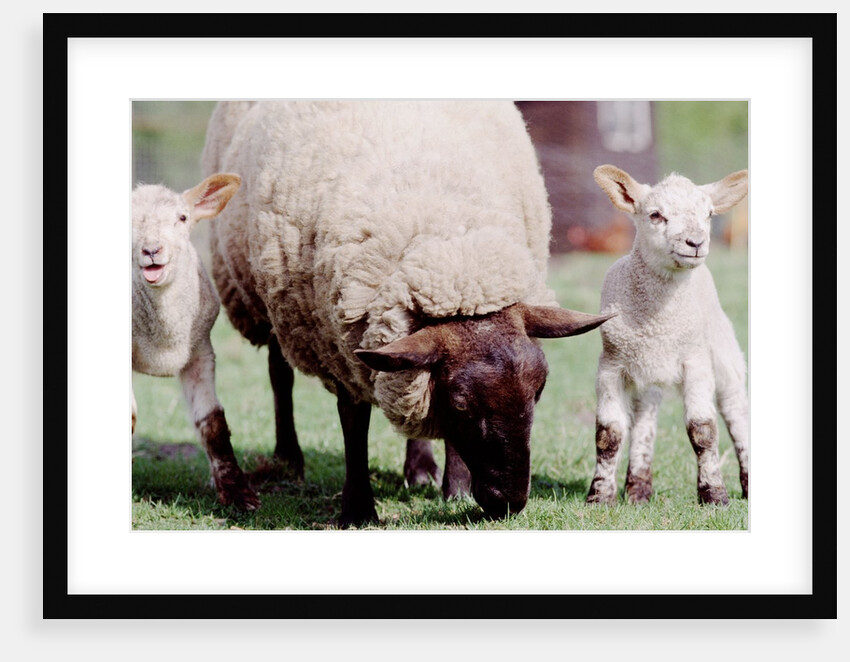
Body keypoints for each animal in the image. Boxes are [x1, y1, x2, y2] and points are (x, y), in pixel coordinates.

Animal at [201, 100, 614, 527]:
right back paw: (288, 458)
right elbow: (354, 422)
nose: (508, 504)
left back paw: (419, 471)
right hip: (265, 301)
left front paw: (455, 489)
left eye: (539, 390)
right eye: (462, 403)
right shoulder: (339, 342)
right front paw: (358, 510)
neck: (449, 250)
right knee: (279, 374)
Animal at [587, 164, 749, 506]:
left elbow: (703, 429)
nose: (695, 242)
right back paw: (638, 490)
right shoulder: (610, 366)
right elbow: (608, 433)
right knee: (644, 420)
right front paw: (599, 496)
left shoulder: (696, 361)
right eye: (655, 215)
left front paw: (714, 494)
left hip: (723, 351)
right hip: (646, 374)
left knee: (735, 410)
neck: (657, 323)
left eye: (709, 214)